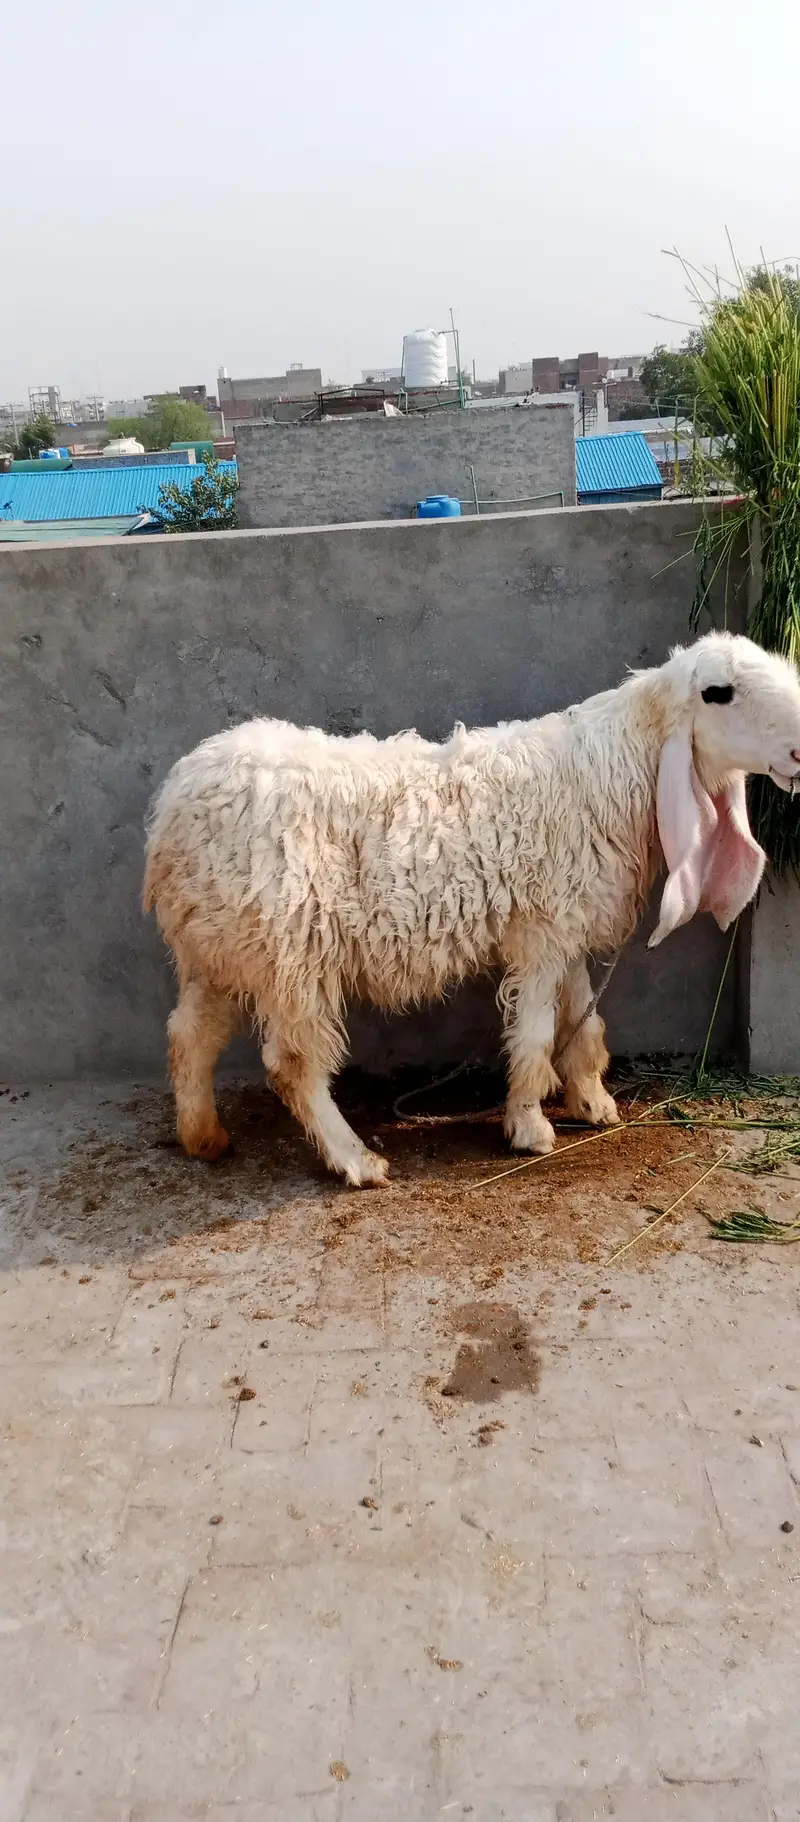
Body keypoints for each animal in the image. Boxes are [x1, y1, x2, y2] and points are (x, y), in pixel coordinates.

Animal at [144, 632, 800, 1185]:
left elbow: (583, 1020)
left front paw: (592, 1102)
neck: (607, 777)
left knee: (188, 1034)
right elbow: (536, 1035)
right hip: (290, 950)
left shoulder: (565, 924)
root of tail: (177, 805)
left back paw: (203, 1137)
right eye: (718, 692)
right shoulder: (540, 932)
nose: (799, 750)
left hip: (219, 944)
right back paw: (355, 1160)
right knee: (292, 1064)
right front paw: (530, 1126)